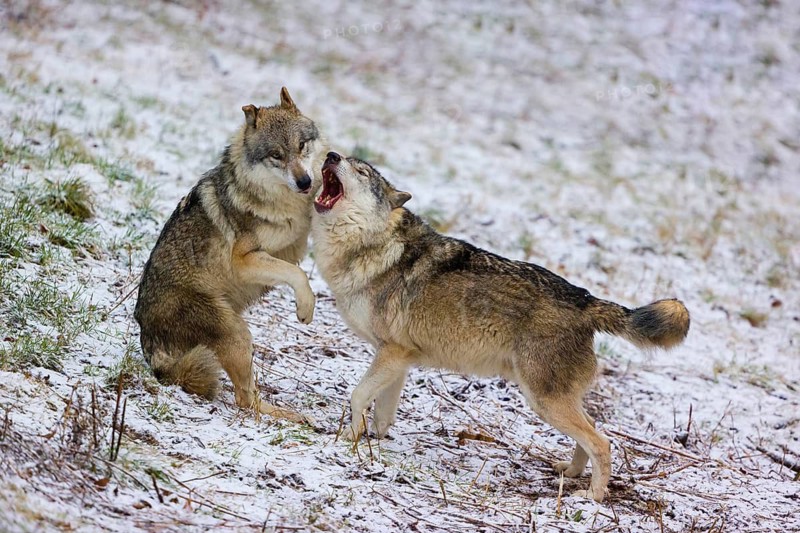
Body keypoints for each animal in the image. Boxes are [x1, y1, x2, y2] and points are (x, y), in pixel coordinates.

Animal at [134, 88, 325, 422]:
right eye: (276, 155)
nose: (304, 182)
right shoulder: (246, 260)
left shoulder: (295, 242)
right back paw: (288, 415)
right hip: (237, 334)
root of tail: (149, 346)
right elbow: (298, 274)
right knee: (245, 400)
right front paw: (306, 307)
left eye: (301, 146)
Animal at [311, 151, 690, 502]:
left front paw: (348, 439)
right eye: (344, 157)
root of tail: (587, 300)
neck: (373, 245)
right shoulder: (398, 359)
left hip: (543, 400)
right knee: (593, 429)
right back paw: (570, 472)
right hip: (554, 399)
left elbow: (358, 395)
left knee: (602, 442)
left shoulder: (391, 352)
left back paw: (592, 498)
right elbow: (382, 412)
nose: (331, 155)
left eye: (361, 172)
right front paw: (373, 443)